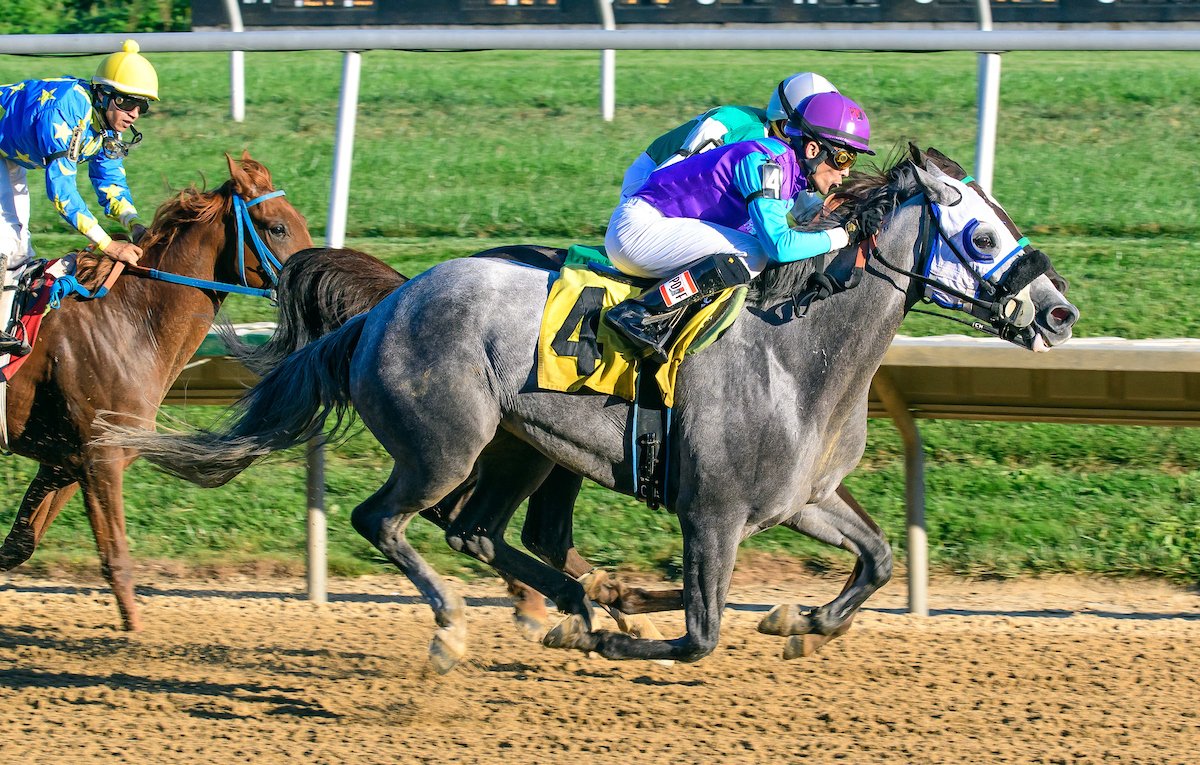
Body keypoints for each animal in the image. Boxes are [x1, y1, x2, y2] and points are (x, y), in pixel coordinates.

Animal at [0, 152, 314, 633]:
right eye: (277, 227)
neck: (128, 323)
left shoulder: (65, 461)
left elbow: (19, 544)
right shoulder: (101, 458)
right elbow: (115, 558)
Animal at [105, 148, 1080, 671]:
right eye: (981, 234)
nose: (1060, 312)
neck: (794, 354)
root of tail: (389, 302)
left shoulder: (802, 499)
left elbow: (876, 559)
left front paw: (798, 622)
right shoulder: (711, 513)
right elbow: (701, 635)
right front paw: (629, 639)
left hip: (521, 447)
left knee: (479, 530)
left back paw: (586, 599)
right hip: (444, 446)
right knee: (384, 520)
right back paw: (466, 626)